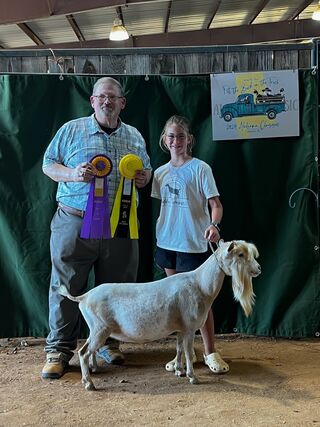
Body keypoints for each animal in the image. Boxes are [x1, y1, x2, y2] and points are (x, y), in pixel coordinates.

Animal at [59, 241, 260, 392]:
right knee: (83, 352)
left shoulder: (180, 329)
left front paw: (179, 371)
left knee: (89, 350)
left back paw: (94, 369)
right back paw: (89, 383)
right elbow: (188, 352)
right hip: (100, 328)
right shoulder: (189, 328)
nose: (258, 268)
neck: (200, 285)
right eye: (240, 255)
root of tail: (84, 297)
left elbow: (179, 349)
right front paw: (192, 377)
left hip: (96, 329)